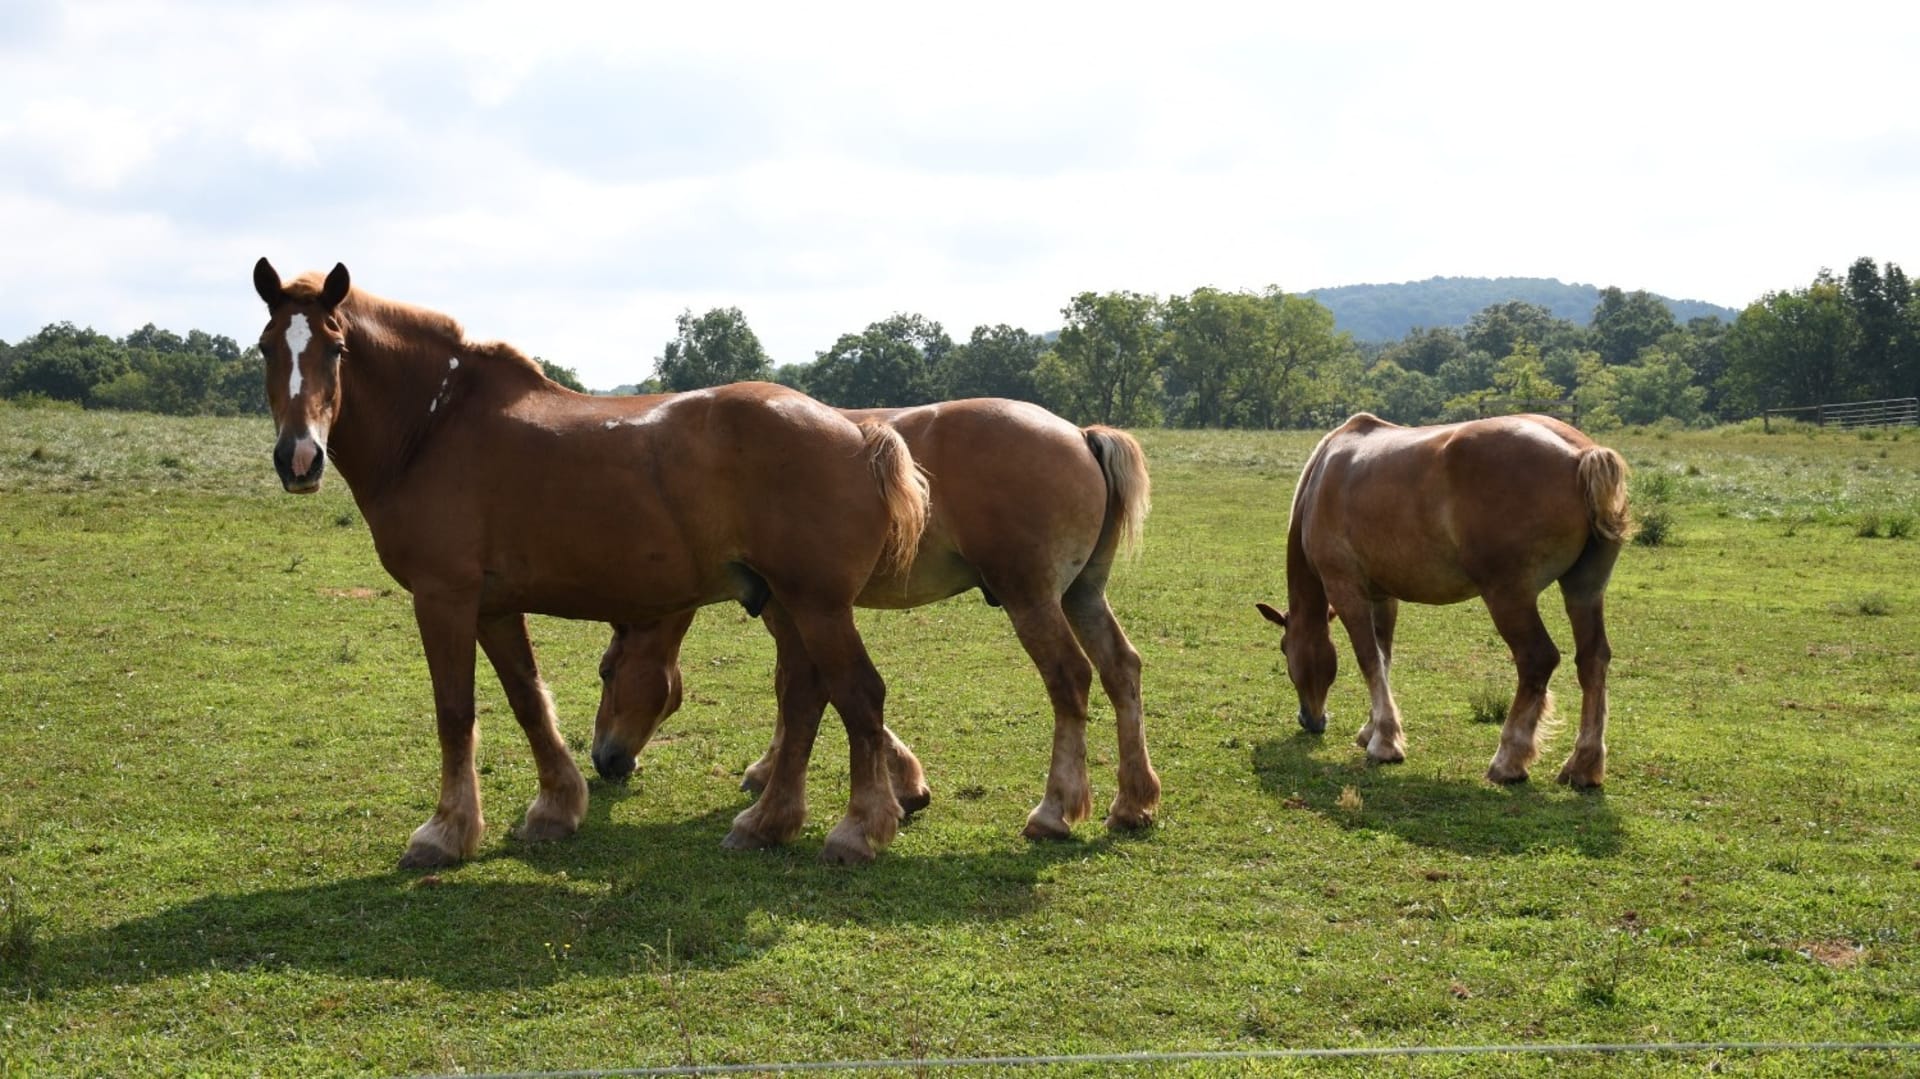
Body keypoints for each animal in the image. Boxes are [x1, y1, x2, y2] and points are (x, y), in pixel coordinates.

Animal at [252, 258, 930, 867]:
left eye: (336, 349)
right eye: (265, 349)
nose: (299, 458)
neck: (435, 427)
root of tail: (858, 433)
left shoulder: (443, 597)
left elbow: (455, 710)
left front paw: (444, 833)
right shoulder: (492, 606)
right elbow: (526, 698)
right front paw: (555, 808)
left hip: (816, 605)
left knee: (857, 694)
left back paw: (859, 831)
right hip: (785, 603)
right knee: (806, 695)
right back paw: (768, 823)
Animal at [590, 398, 1162, 839]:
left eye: (606, 671)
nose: (604, 760)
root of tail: (1080, 435)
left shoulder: (793, 608)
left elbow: (793, 685)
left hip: (1032, 599)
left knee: (1071, 679)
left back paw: (1053, 811)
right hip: (1082, 596)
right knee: (1121, 670)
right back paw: (1132, 803)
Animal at [1256, 412, 1630, 788]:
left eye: (1284, 648)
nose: (1310, 720)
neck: (1321, 480)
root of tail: (1580, 454)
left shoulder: (1347, 591)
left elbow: (1369, 660)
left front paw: (1383, 743)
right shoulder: (1383, 597)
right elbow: (1384, 658)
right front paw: (1373, 729)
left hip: (1509, 597)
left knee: (1537, 660)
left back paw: (1508, 760)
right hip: (1583, 592)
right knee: (1592, 660)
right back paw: (1583, 766)